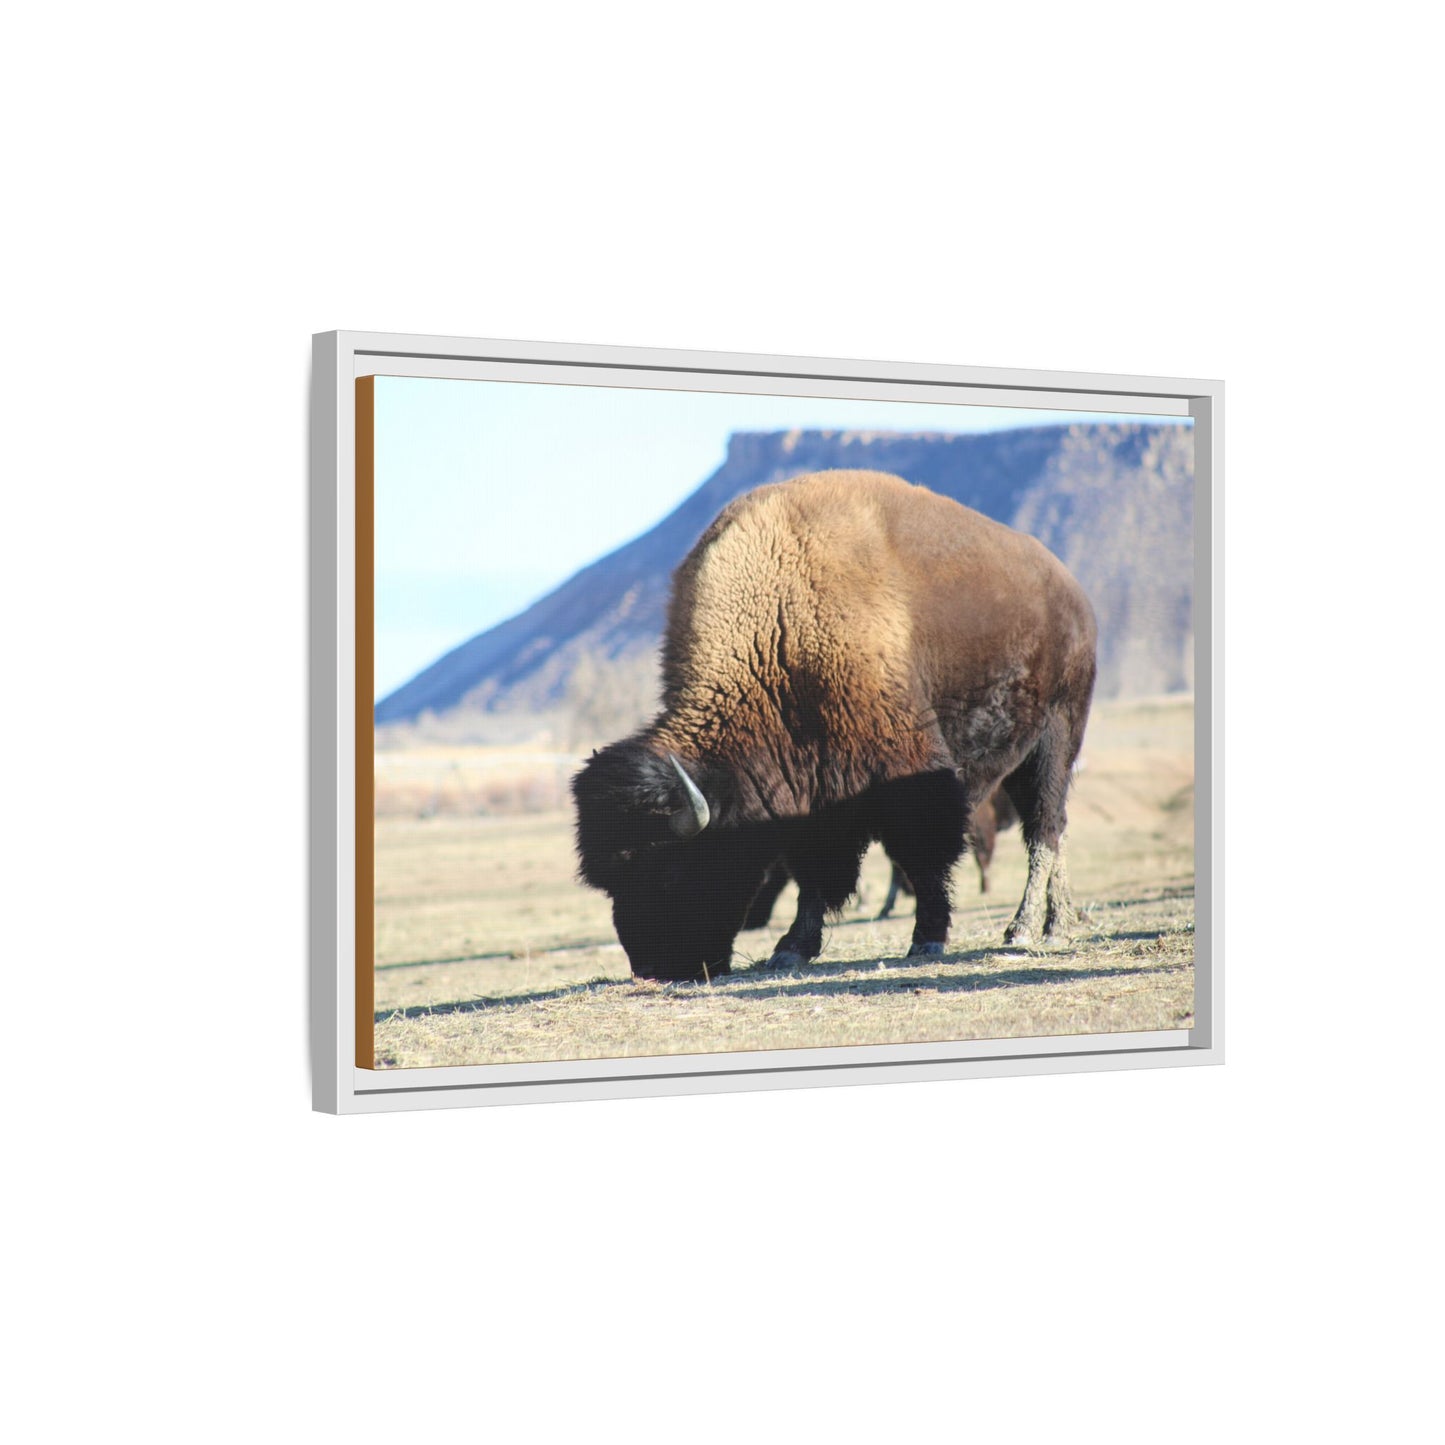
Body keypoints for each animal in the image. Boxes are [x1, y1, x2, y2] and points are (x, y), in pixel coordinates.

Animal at [572, 469, 1097, 981]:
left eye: (668, 870)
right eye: (610, 881)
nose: (653, 969)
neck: (778, 627)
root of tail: (1071, 592)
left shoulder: (907, 773)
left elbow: (922, 856)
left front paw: (927, 938)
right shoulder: (812, 793)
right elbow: (815, 872)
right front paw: (791, 949)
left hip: (1055, 738)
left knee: (1044, 828)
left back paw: (1028, 929)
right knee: (1053, 828)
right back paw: (1058, 922)